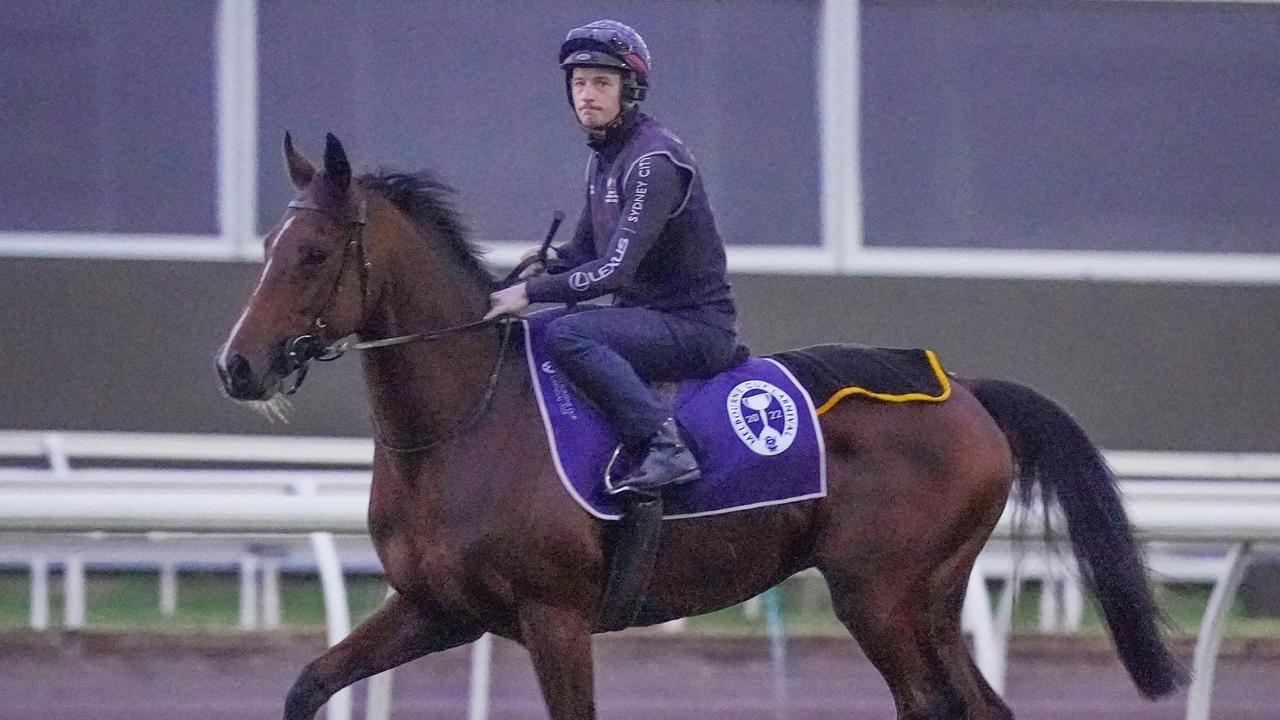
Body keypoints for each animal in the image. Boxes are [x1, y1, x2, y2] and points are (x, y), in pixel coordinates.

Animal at [217, 134, 1177, 717]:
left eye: (312, 253)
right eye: (265, 245)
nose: (238, 365)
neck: (465, 423)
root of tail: (967, 390)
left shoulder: (554, 616)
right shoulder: (437, 608)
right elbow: (309, 683)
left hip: (880, 592)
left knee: (927, 704)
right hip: (932, 599)